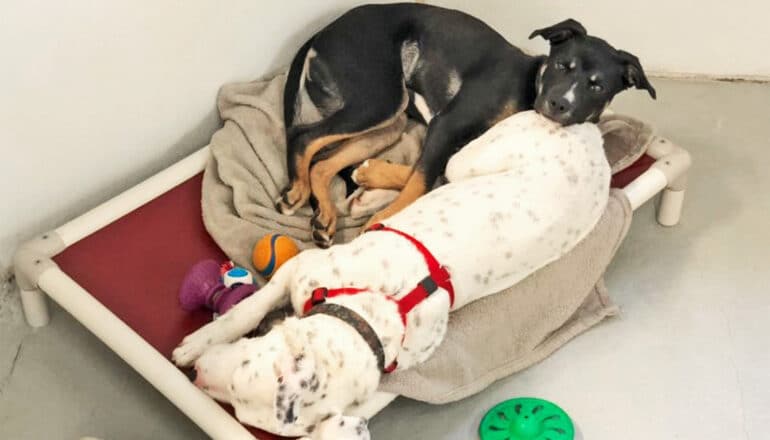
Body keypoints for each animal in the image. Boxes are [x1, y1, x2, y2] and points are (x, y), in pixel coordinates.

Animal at [171, 111, 608, 440]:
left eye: (239, 404)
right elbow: (245, 311)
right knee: (436, 170)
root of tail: (593, 137)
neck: (377, 307)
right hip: (477, 155)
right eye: (245, 363)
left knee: (432, 174)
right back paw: (371, 180)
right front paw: (197, 342)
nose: (197, 379)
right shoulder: (298, 268)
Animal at [272, 1, 652, 246]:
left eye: (597, 86)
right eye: (563, 65)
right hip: (380, 98)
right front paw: (378, 224)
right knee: (304, 137)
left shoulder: (451, 144)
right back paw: (297, 191)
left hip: (389, 121)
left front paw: (371, 175)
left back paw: (325, 215)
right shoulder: (447, 124)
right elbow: (420, 182)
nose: (559, 104)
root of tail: (323, 31)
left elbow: (426, 174)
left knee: (323, 162)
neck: (531, 89)